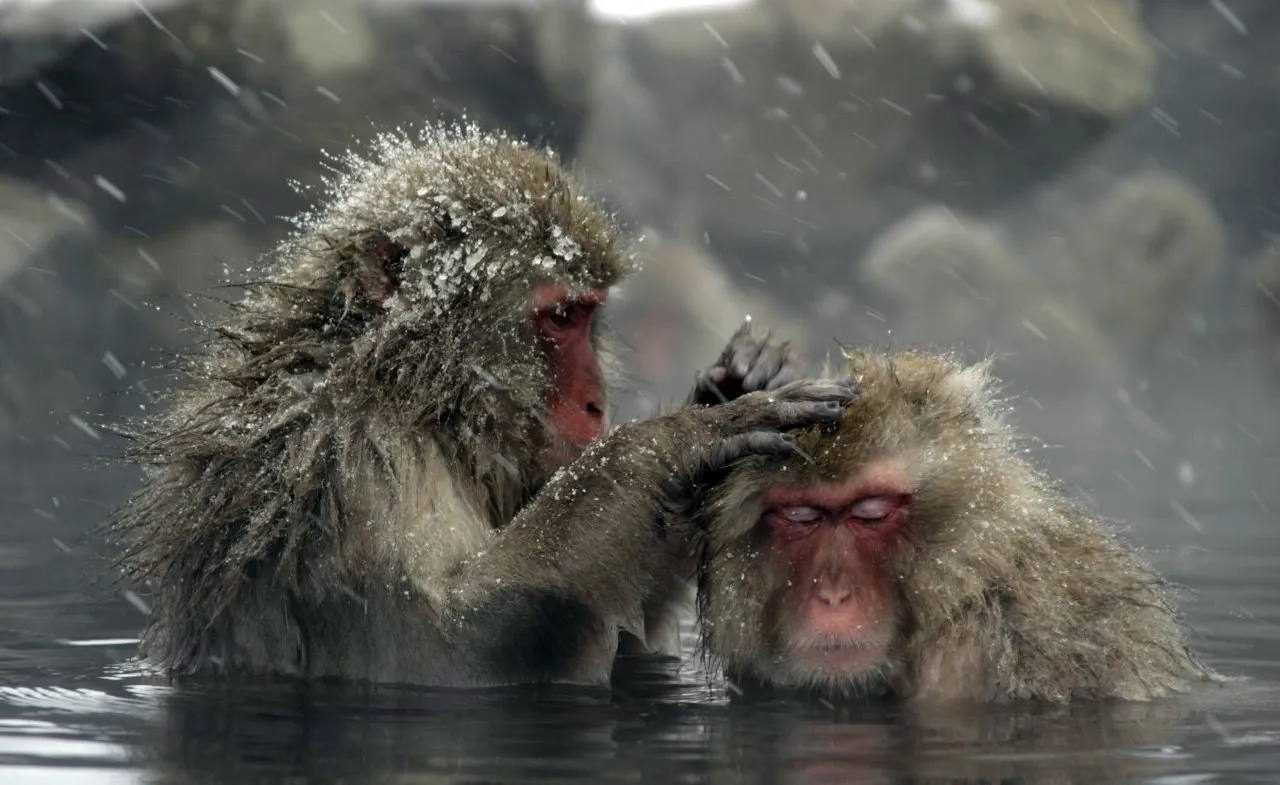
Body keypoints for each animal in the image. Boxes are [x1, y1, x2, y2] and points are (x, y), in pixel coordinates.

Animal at [107, 122, 855, 687]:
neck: (409, 393)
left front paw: (737, 381)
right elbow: (446, 650)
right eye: (559, 316)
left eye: (589, 315)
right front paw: (679, 440)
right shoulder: (345, 468)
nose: (597, 404)